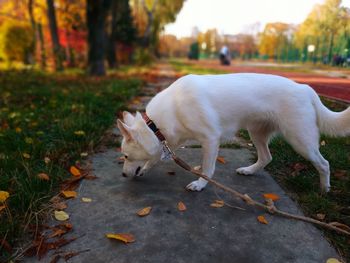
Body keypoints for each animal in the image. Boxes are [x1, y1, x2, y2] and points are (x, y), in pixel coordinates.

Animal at [117, 73, 350, 193]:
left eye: (126, 156)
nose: (123, 175)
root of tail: (305, 88)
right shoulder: (170, 141)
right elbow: (155, 159)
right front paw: (146, 169)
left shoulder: (211, 139)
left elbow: (208, 168)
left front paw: (200, 184)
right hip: (257, 134)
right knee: (266, 157)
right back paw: (249, 170)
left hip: (300, 140)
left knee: (324, 164)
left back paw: (324, 189)